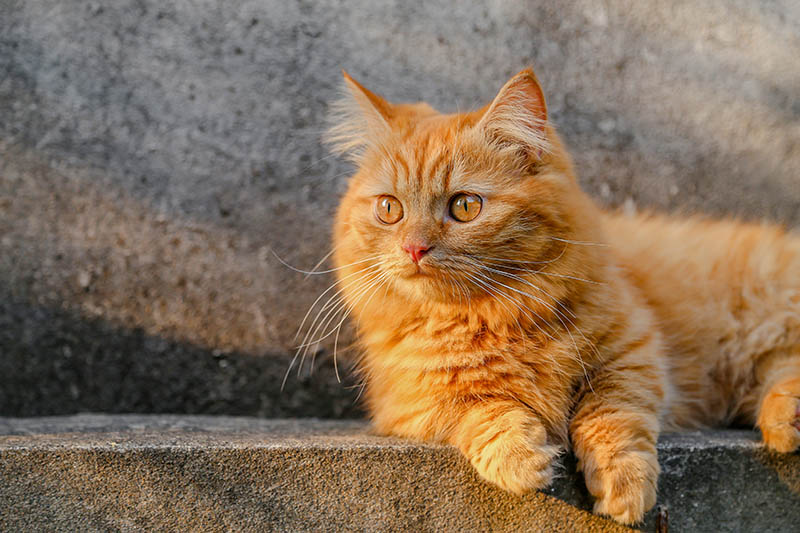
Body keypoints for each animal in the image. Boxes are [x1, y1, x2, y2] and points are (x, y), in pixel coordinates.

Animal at [318, 66, 800, 524]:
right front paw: (520, 458)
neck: (491, 317)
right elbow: (480, 409)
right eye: (389, 209)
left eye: (465, 206)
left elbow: (611, 417)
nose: (414, 248)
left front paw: (623, 487)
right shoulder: (410, 403)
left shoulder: (632, 351)